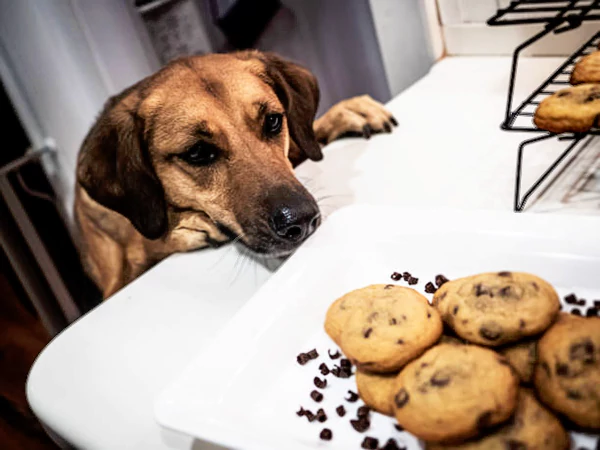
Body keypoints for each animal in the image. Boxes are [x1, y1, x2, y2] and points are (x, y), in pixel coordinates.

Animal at [74, 50, 398, 298]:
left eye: (273, 121)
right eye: (197, 152)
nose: (302, 221)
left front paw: (345, 112)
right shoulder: (117, 279)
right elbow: (151, 241)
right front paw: (187, 228)